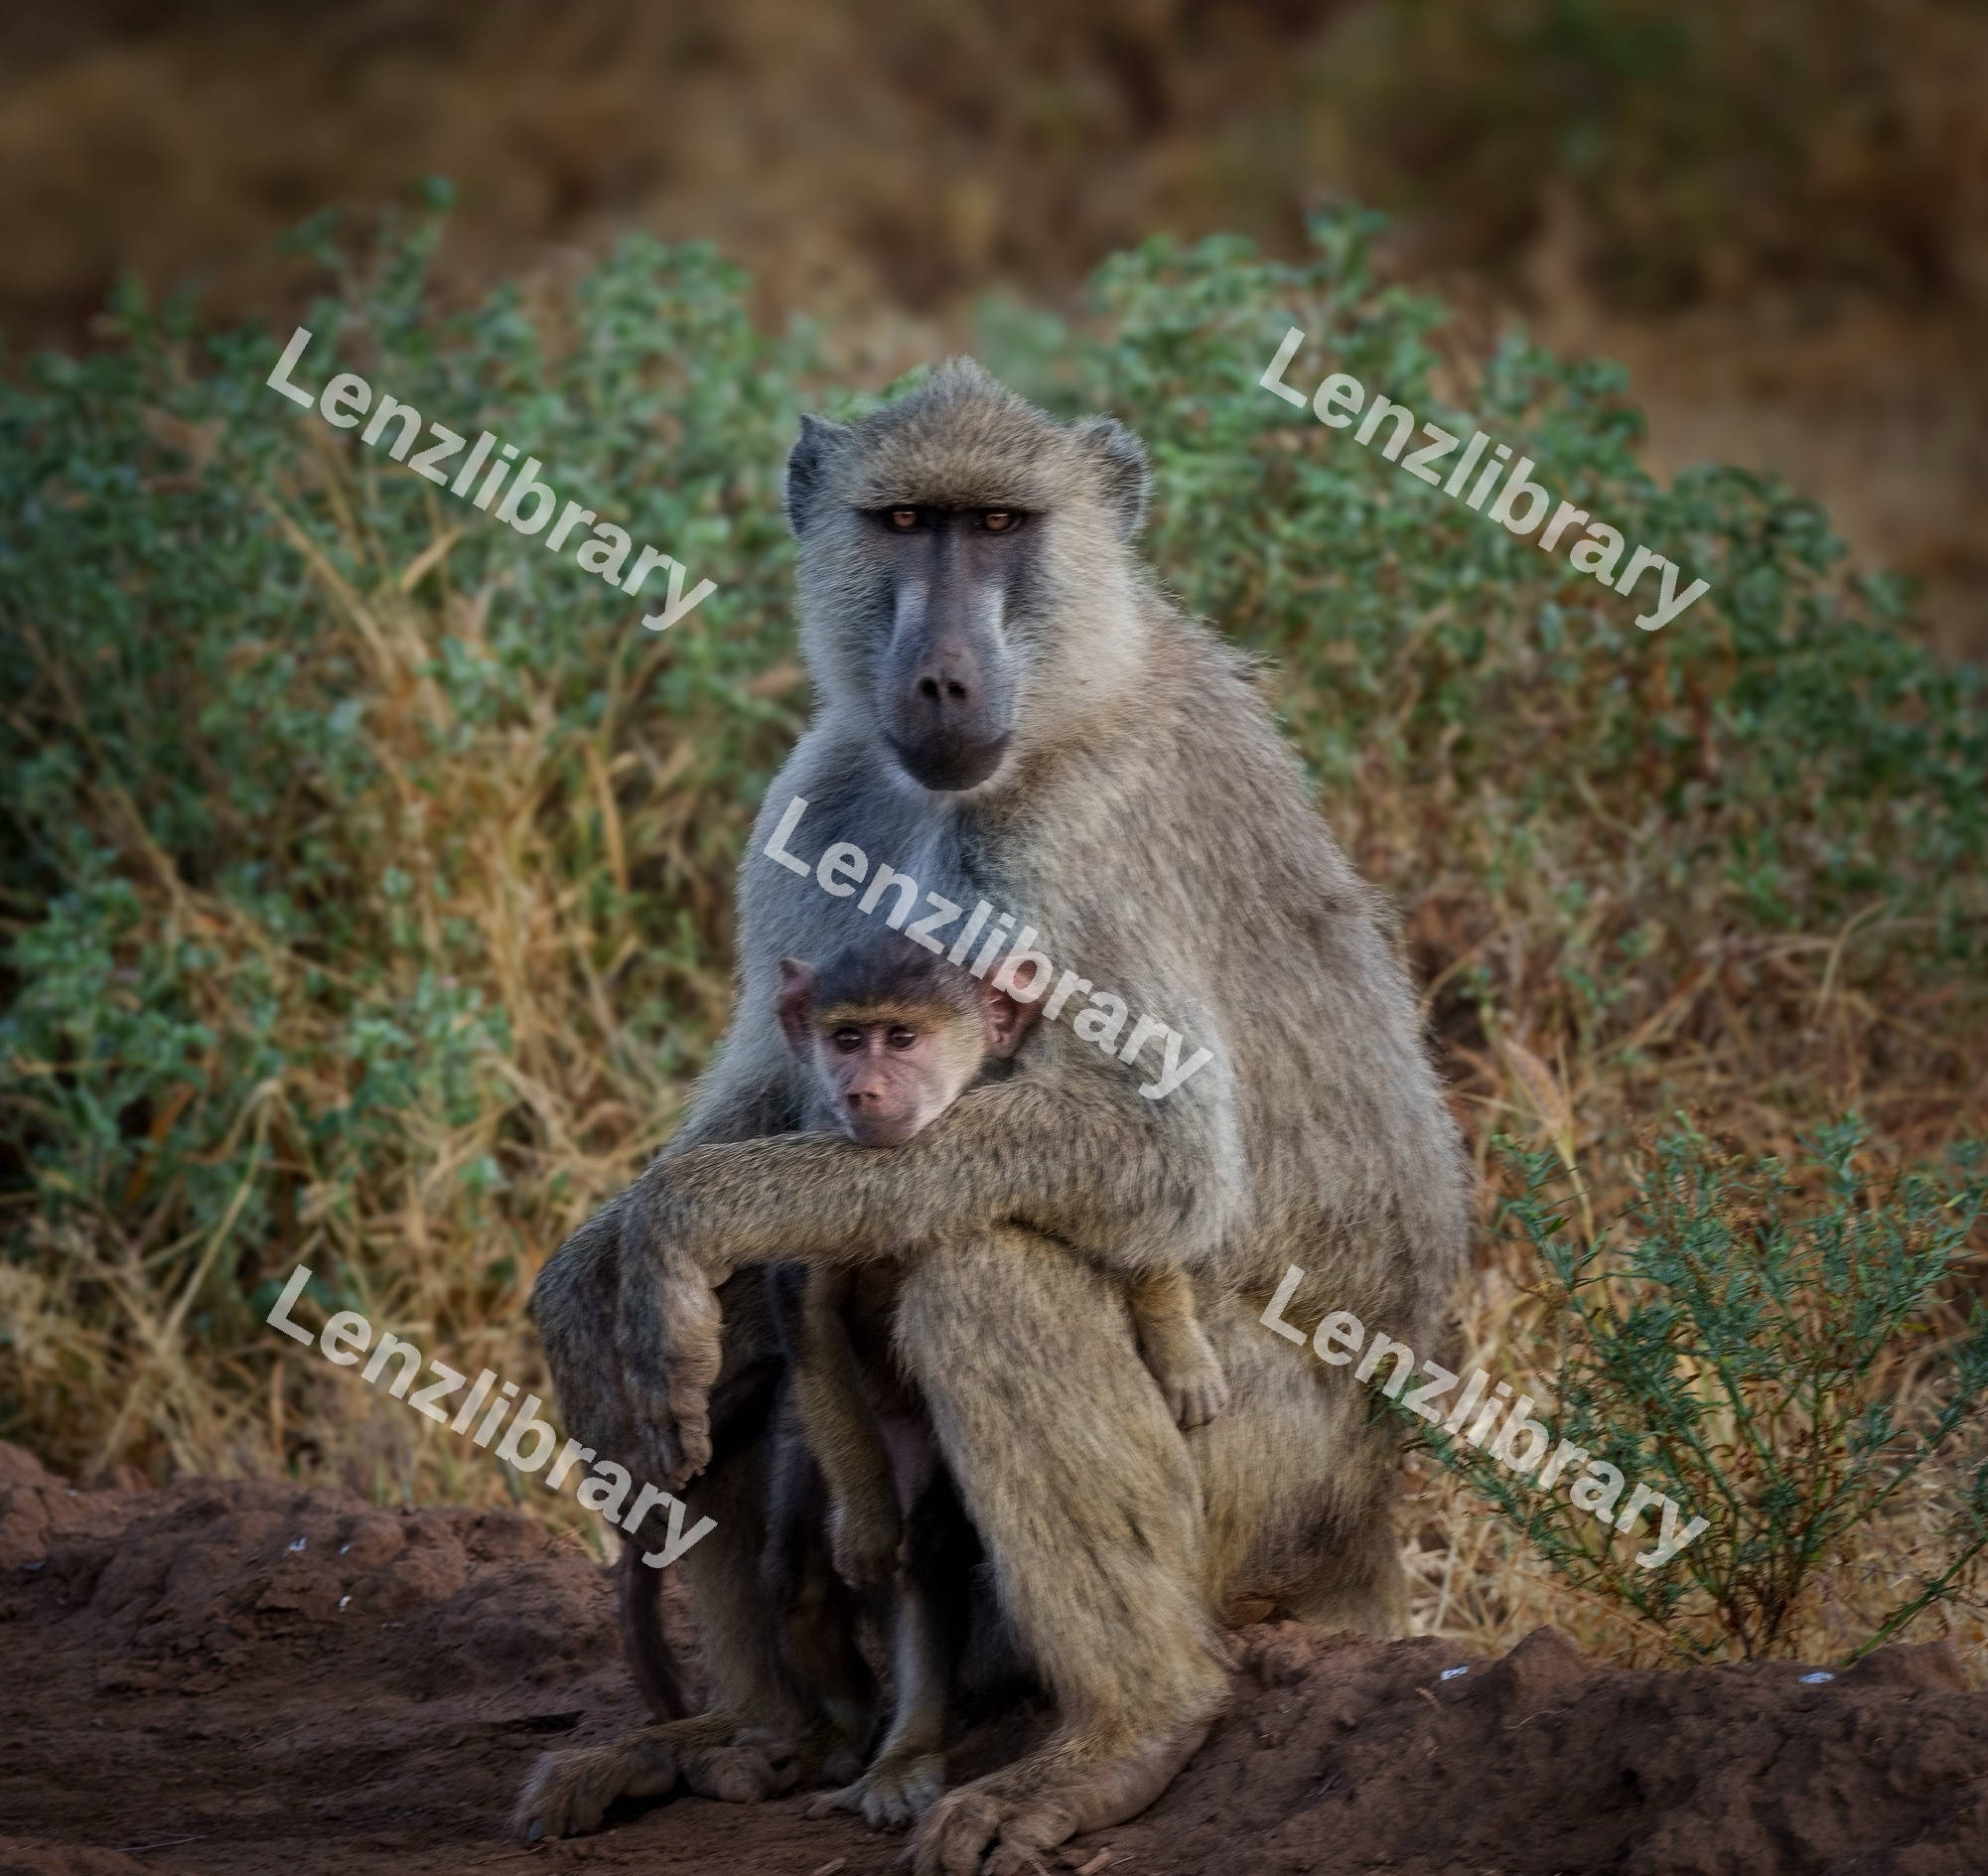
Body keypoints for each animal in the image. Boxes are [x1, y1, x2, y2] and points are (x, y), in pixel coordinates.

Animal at [515, 359, 1472, 1876]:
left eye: (1000, 525)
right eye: (907, 522)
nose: (943, 678)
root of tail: (1371, 1517)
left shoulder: (1076, 836)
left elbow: (1158, 1156)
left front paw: (671, 1221)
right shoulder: (822, 788)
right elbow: (771, 1090)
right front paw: (584, 1271)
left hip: (1261, 1484)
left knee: (984, 1267)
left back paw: (1127, 1729)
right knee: (733, 1338)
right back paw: (752, 1733)